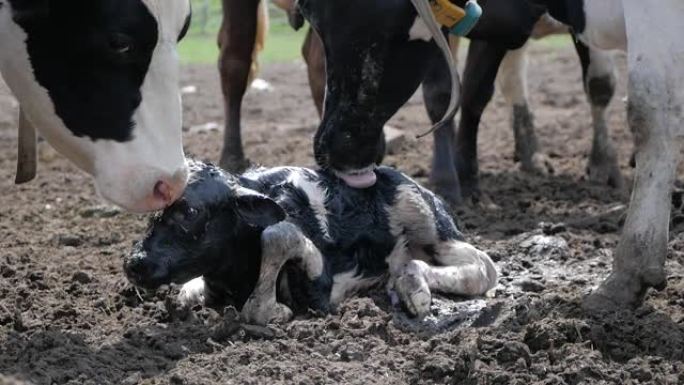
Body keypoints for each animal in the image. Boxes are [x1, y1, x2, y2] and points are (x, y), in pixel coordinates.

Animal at [124, 159, 496, 324]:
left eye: (191, 211)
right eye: (155, 210)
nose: (133, 262)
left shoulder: (322, 293)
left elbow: (278, 234)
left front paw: (273, 311)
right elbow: (187, 293)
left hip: (425, 218)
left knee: (484, 267)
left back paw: (413, 287)